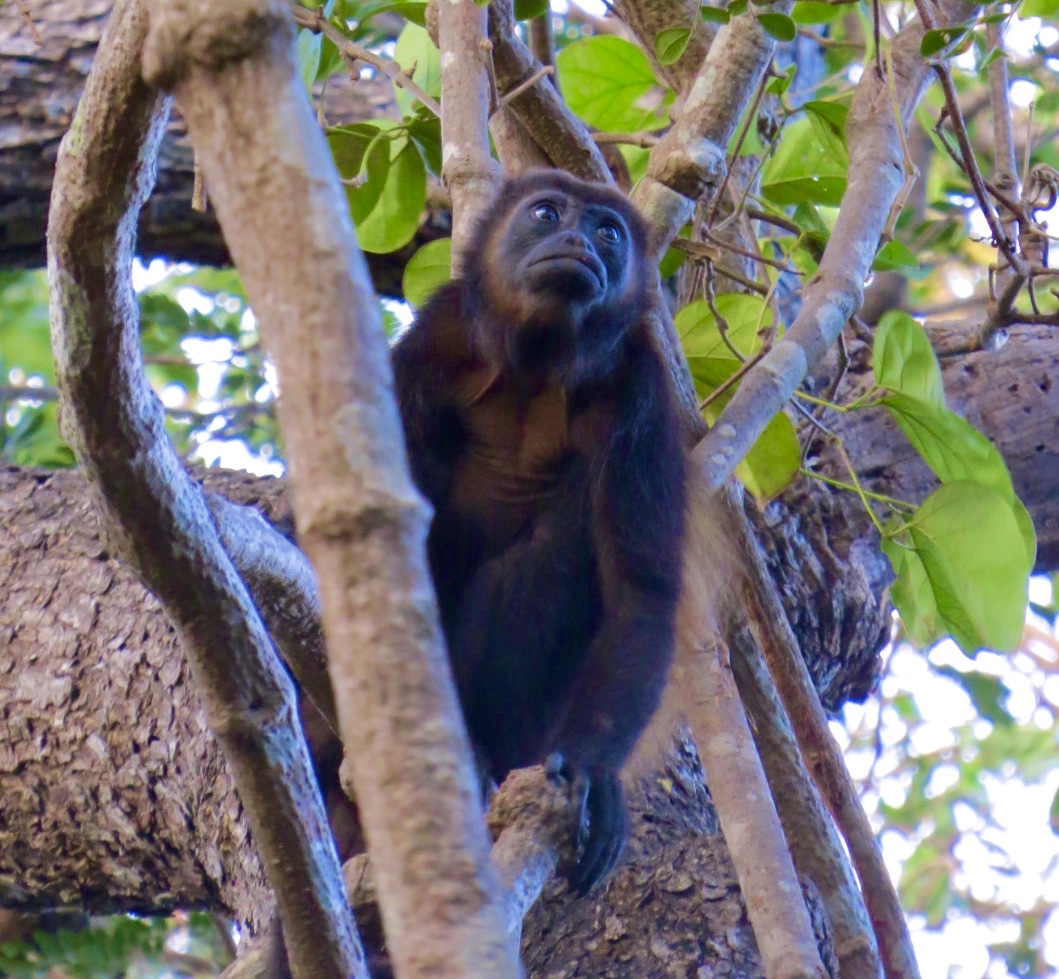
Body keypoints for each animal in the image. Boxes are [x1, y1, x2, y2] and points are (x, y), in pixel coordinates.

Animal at [391, 170, 687, 893]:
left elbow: (642, 593)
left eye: (608, 232)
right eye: (546, 214)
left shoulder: (639, 392)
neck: (535, 367)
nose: (579, 241)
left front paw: (591, 771)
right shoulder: (433, 344)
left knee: (554, 545)